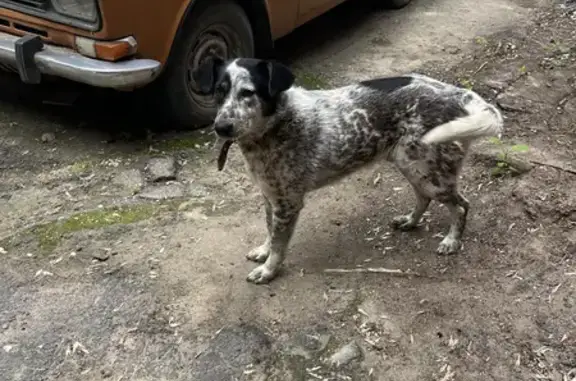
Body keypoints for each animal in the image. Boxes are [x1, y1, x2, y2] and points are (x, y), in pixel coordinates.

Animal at [194, 55, 504, 282]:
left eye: (248, 93)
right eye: (220, 92)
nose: (221, 127)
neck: (276, 125)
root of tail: (458, 94)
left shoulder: (288, 203)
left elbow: (280, 245)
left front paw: (269, 270)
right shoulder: (270, 195)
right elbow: (270, 232)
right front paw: (263, 251)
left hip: (430, 171)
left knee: (461, 206)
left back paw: (452, 241)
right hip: (412, 165)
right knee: (424, 198)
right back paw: (410, 221)